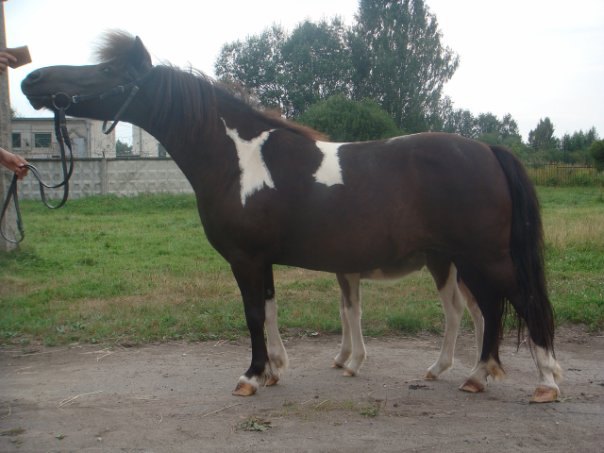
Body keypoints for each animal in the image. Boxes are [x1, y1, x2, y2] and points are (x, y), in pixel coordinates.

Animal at [22, 30, 560, 400]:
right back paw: (475, 375)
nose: (33, 79)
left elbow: (253, 314)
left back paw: (546, 383)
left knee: (522, 304)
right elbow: (271, 310)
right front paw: (275, 369)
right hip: (463, 260)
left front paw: (250, 376)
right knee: (488, 310)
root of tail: (488, 151)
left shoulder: (245, 259)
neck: (238, 158)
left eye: (108, 73)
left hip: (484, 258)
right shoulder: (262, 261)